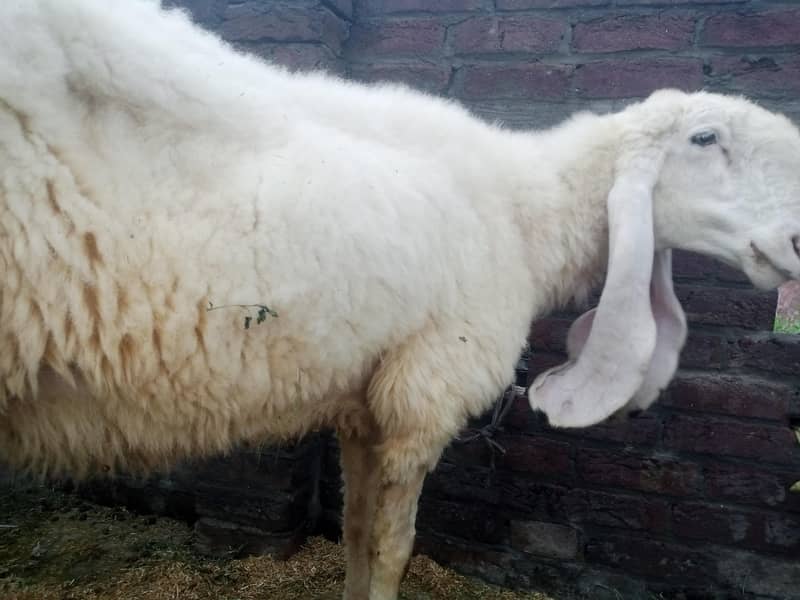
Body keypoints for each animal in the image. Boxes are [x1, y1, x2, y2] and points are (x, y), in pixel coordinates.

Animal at [1, 1, 800, 598]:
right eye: (705, 139)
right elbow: (393, 546)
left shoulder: (365, 397)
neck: (522, 211)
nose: (795, 237)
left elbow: (356, 534)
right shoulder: (426, 390)